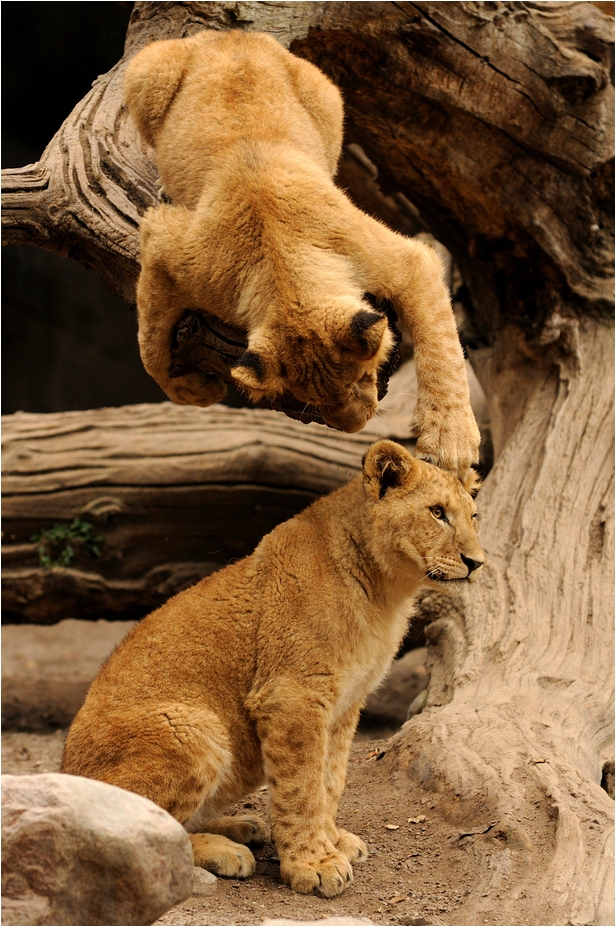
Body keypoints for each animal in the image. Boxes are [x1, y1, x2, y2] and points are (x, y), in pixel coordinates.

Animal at [61, 440, 484, 898]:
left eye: (473, 516)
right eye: (437, 512)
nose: (477, 562)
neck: (384, 592)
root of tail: (65, 770)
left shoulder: (345, 704)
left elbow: (330, 779)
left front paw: (332, 840)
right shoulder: (292, 695)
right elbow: (301, 787)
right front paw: (314, 864)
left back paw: (243, 826)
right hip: (193, 725)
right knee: (143, 831)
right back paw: (227, 850)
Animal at [124, 30, 480, 474]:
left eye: (363, 377)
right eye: (309, 399)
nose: (354, 426)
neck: (283, 266)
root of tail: (231, 35)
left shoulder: (405, 261)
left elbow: (442, 347)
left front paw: (451, 441)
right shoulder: (169, 249)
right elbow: (150, 341)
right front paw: (190, 390)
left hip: (328, 96)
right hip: (146, 67)